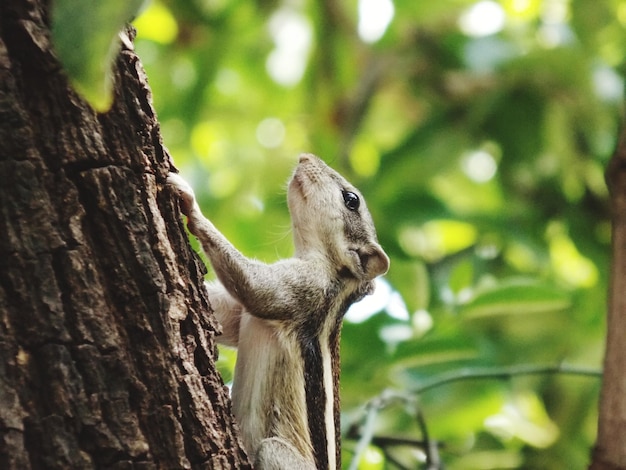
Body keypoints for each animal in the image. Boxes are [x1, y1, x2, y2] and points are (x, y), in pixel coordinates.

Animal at [168, 152, 388, 468]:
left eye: (351, 199)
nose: (305, 156)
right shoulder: (242, 314)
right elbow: (223, 315)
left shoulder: (302, 289)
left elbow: (253, 286)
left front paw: (191, 203)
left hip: (276, 451)